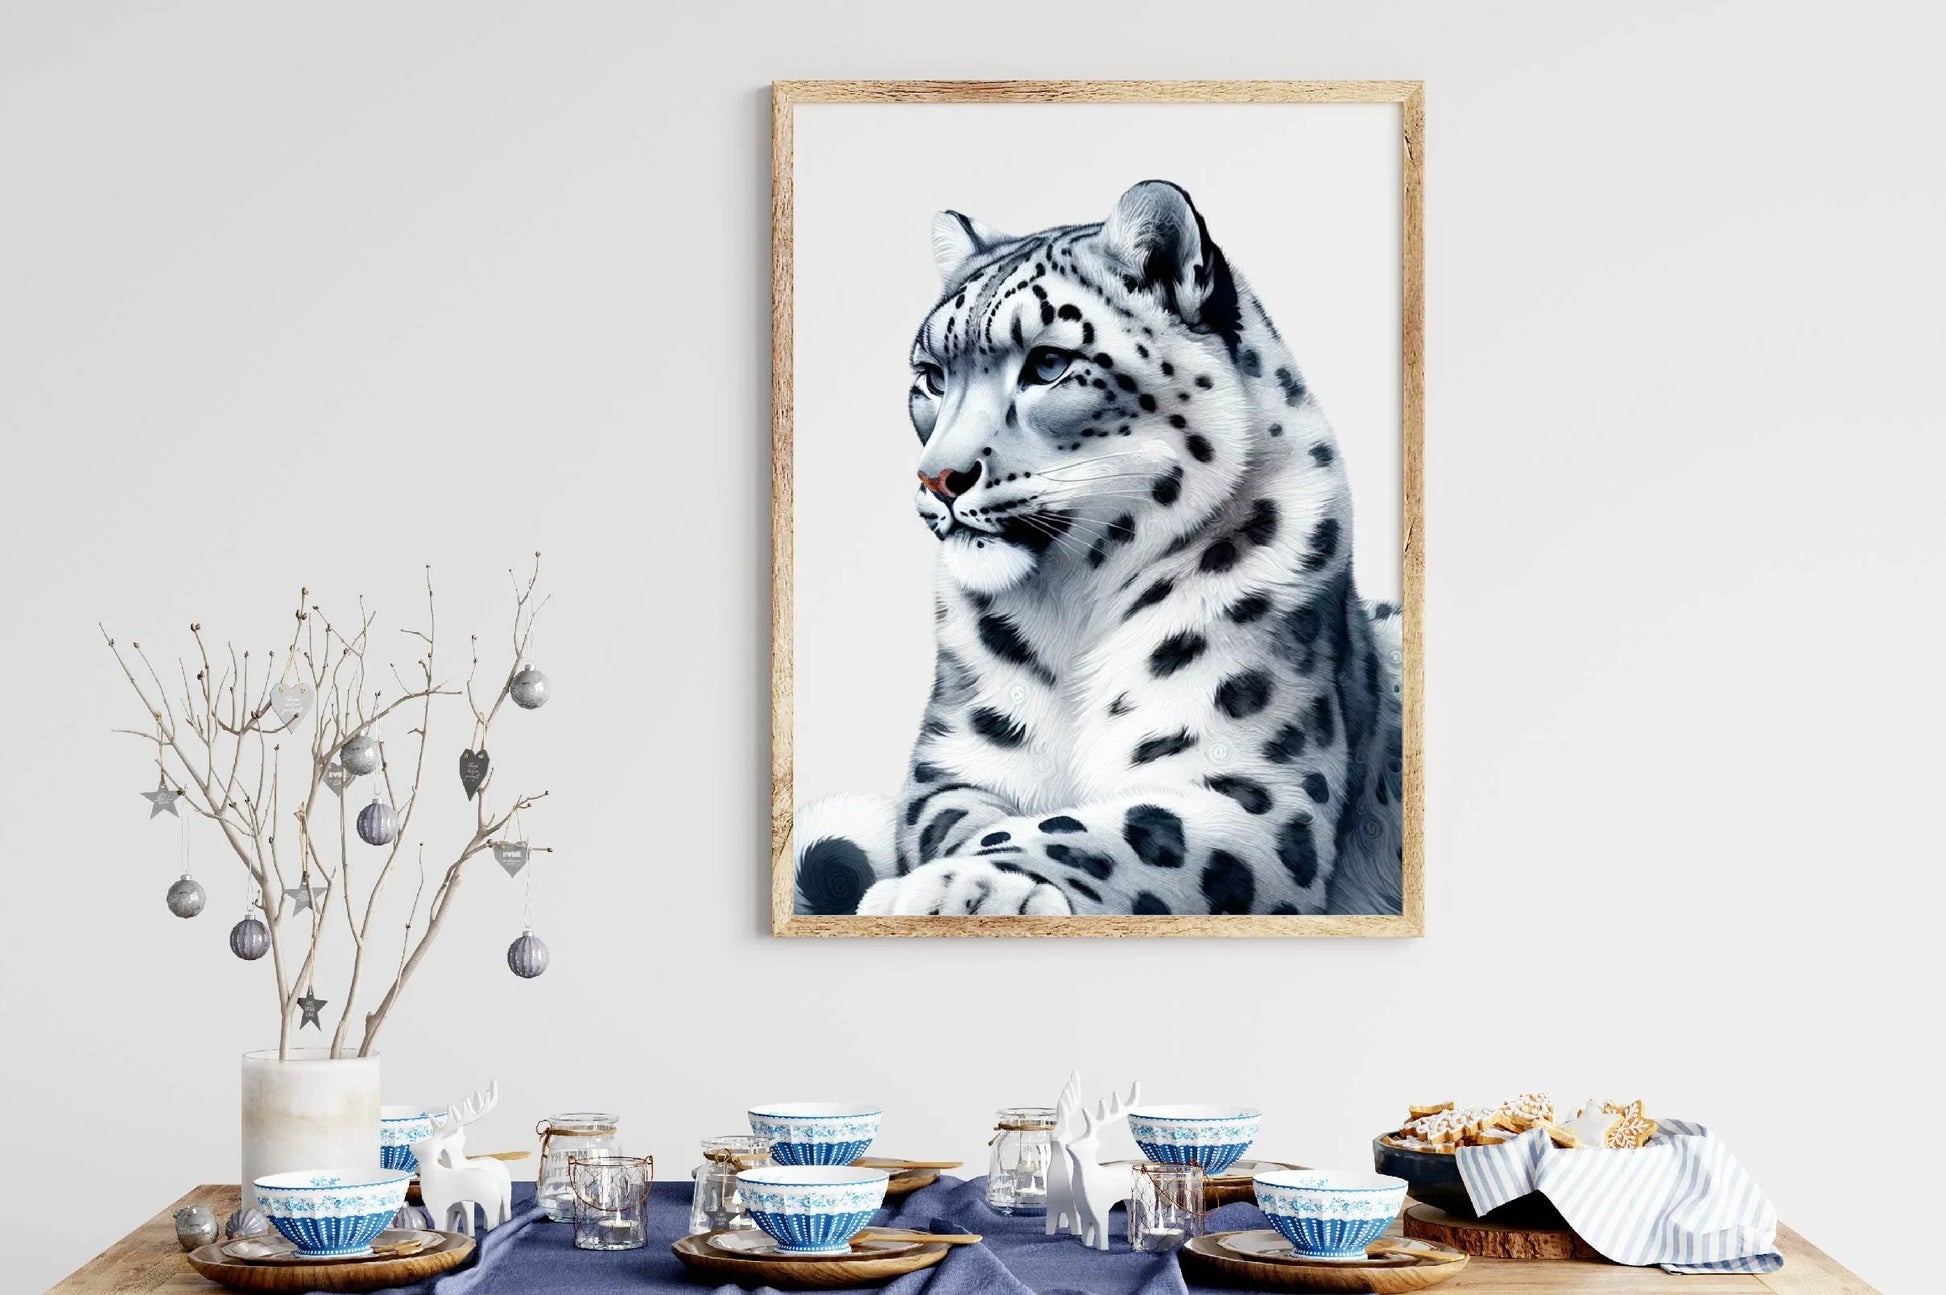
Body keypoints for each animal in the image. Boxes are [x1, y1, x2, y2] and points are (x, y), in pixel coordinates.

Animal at [791, 179, 1404, 918]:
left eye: (1049, 364)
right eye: (932, 377)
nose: (937, 478)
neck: (1071, 607)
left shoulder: (1253, 789)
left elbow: (1092, 830)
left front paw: (953, 886)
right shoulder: (958, 765)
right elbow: (960, 820)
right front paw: (948, 878)